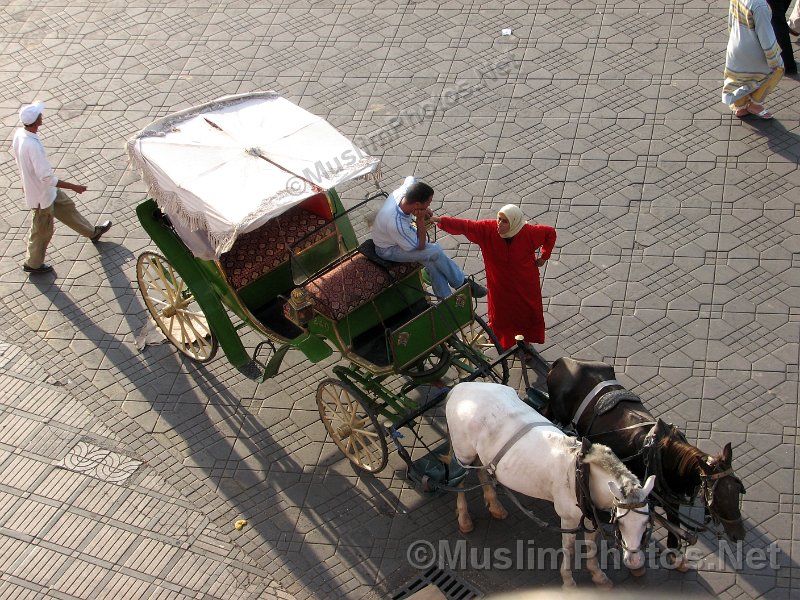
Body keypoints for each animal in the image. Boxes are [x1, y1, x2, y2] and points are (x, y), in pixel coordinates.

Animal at [444, 382, 656, 588]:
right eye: (620, 522)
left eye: (645, 522)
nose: (635, 561)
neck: (584, 476)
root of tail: (460, 387)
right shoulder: (568, 519)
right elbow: (569, 548)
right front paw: (568, 581)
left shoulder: (591, 515)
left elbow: (592, 544)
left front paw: (598, 576)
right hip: (463, 454)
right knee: (460, 479)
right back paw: (464, 517)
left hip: (480, 454)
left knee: (481, 469)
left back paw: (494, 505)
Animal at [548, 356, 748, 572]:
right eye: (718, 498)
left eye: (738, 490)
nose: (739, 535)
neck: (663, 457)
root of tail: (563, 361)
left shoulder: (671, 499)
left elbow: (673, 528)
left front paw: (676, 556)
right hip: (557, 413)